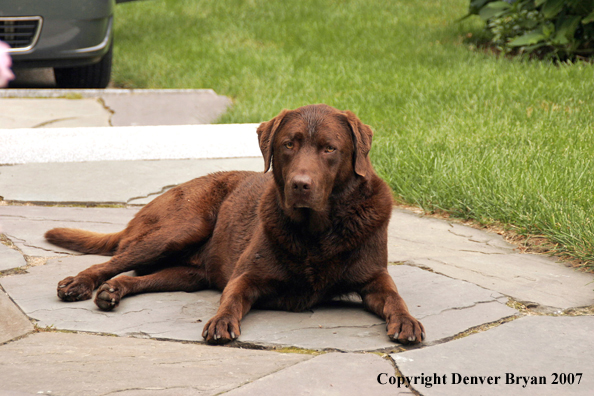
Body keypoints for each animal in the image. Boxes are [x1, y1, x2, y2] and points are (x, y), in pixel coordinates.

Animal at [46, 103, 426, 344]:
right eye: (289, 144)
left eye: (329, 148)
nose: (300, 185)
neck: (316, 231)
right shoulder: (246, 276)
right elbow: (231, 299)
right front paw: (220, 322)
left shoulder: (374, 278)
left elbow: (395, 298)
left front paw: (407, 321)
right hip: (182, 228)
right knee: (111, 262)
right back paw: (79, 284)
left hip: (189, 274)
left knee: (136, 277)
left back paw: (112, 292)